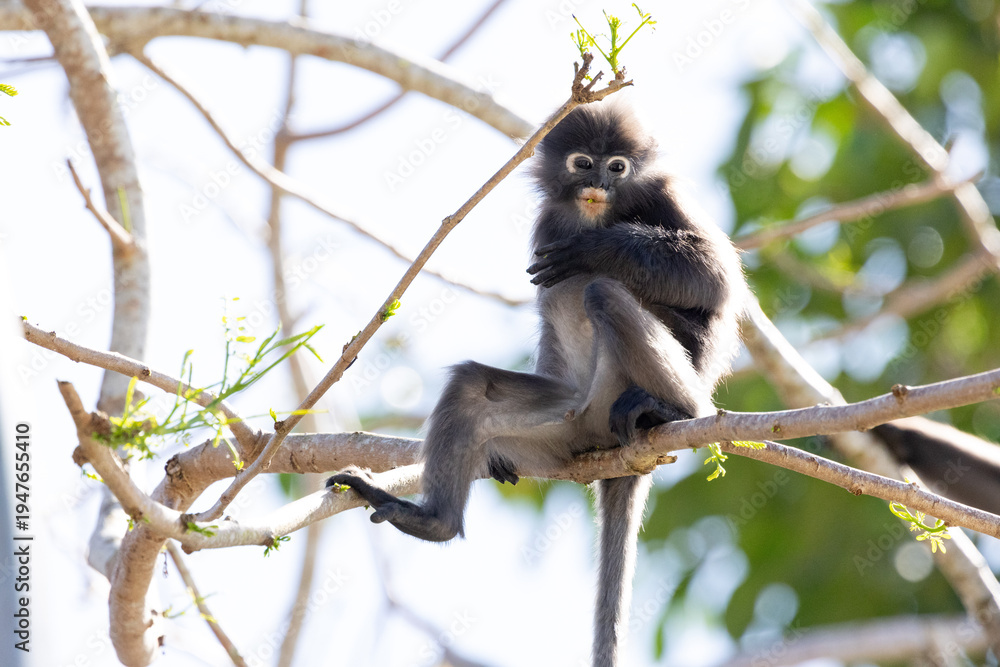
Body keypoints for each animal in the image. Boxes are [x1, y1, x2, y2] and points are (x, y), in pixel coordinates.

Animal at [328, 100, 747, 667]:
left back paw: (676, 410)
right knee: (472, 386)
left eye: (617, 167)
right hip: (565, 428)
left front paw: (601, 248)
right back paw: (432, 522)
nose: (598, 184)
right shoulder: (547, 221)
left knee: (604, 293)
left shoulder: (664, 194)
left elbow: (715, 278)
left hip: (619, 395)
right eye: (582, 164)